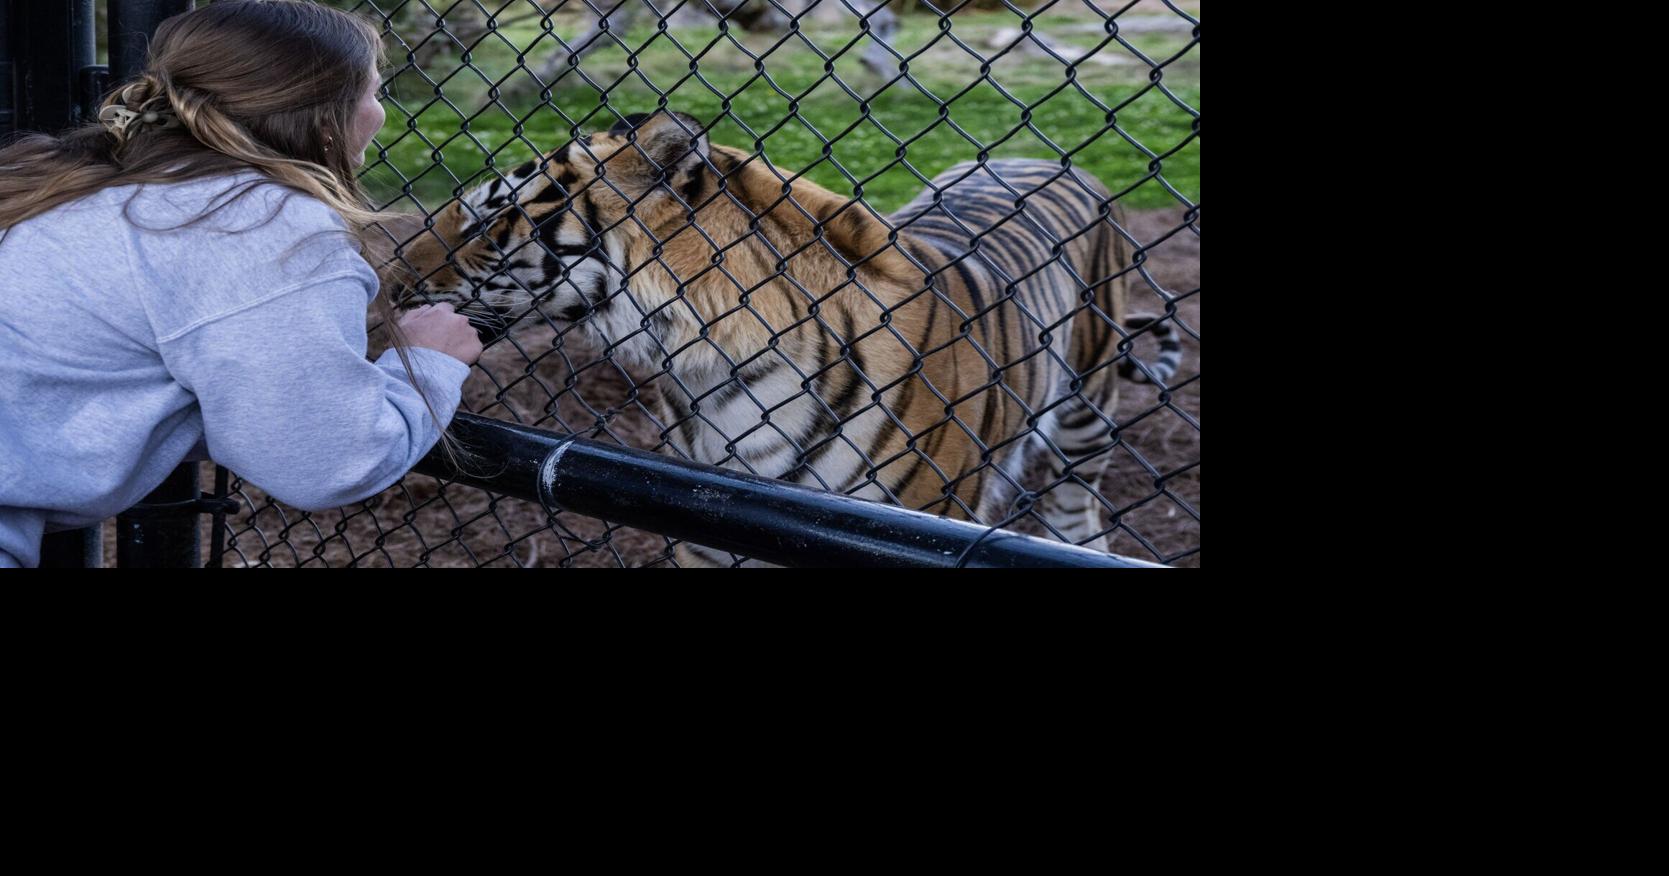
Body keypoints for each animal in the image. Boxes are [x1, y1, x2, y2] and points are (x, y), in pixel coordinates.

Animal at [389, 110, 1183, 566]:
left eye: (491, 219)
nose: (388, 281)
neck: (707, 371)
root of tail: (1040, 157)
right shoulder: (704, 531)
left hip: (1086, 417)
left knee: (1079, 511)